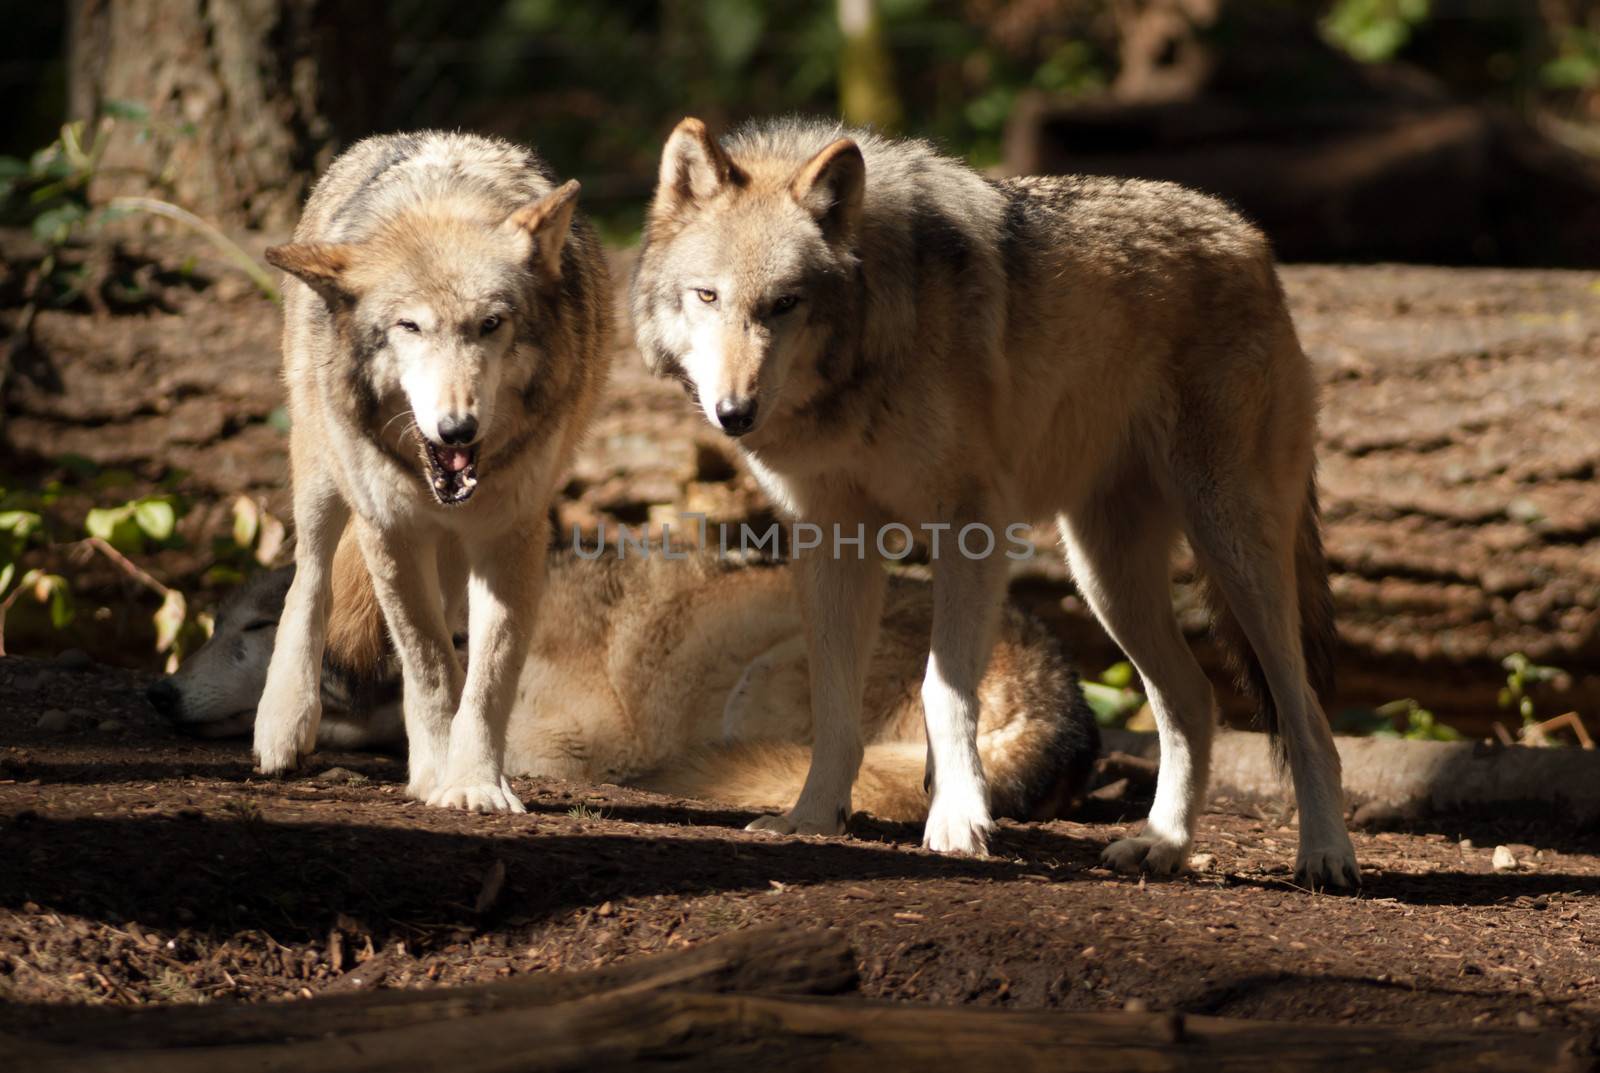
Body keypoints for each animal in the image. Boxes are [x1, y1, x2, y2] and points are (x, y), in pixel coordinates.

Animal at [147, 550, 1100, 825]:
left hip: (768, 679)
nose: (157, 696)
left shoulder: (570, 740)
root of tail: (1064, 697)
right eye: (214, 623)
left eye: (257, 632)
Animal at [252, 127, 608, 815]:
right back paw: (283, 725)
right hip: (323, 472)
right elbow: (431, 664)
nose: (457, 429)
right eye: (409, 326)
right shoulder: (390, 530)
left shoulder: (511, 537)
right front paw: (440, 773)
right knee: (309, 579)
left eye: (491, 324)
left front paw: (474, 782)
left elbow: (487, 675)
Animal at [630, 117, 1356, 889]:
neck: (864, 360)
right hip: (1107, 578)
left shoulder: (969, 527)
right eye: (707, 296)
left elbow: (943, 690)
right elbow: (833, 700)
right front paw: (811, 816)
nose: (735, 413)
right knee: (1194, 700)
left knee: (1307, 715)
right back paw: (1161, 844)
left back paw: (1326, 853)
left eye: (785, 304)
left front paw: (956, 820)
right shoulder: (834, 539)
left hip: (1233, 549)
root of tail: (1249, 237)